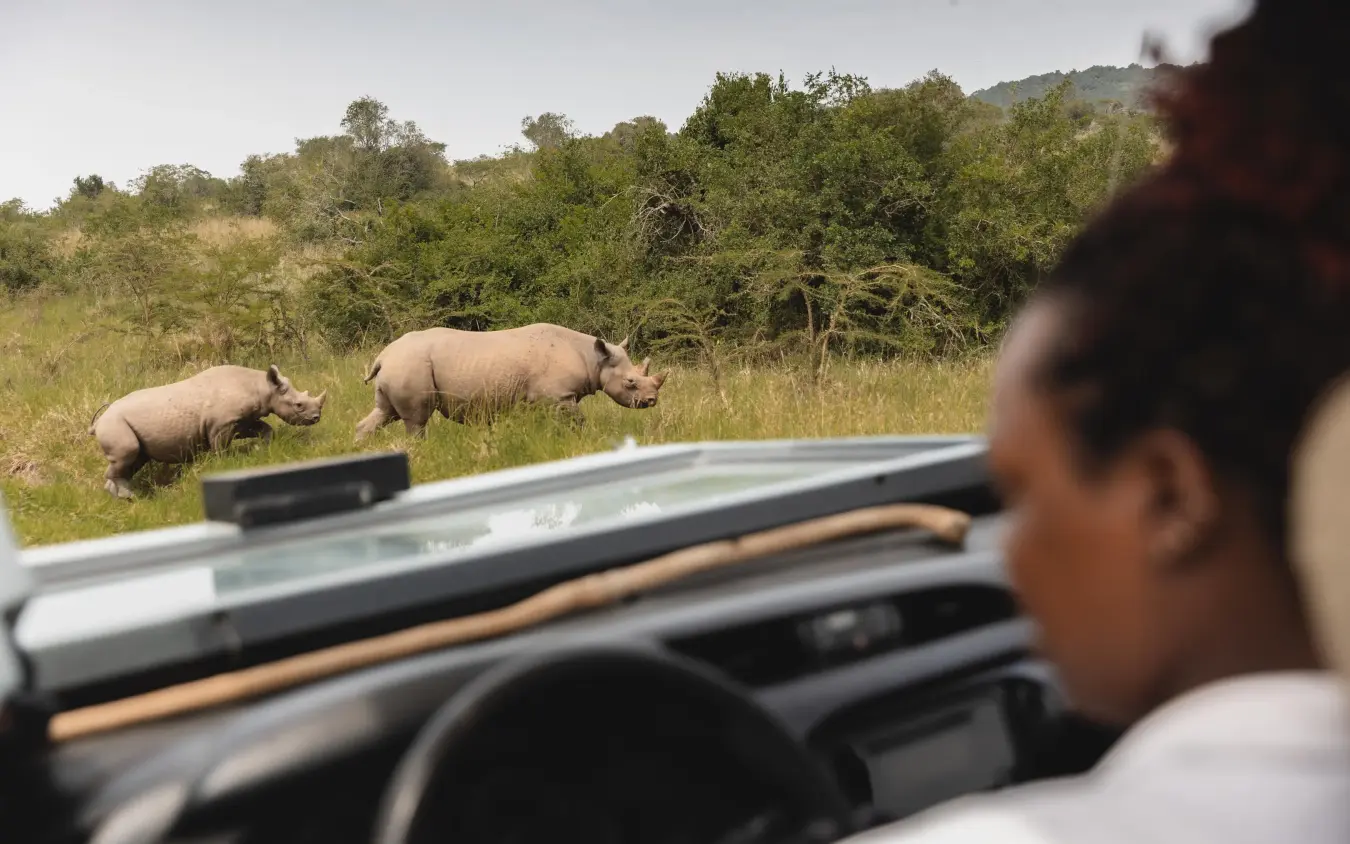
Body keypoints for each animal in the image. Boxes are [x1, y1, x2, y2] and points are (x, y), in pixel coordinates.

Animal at [89, 364, 327, 499]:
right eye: (298, 405)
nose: (317, 418)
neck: (262, 387)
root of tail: (98, 421)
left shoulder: (241, 420)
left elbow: (264, 429)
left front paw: (263, 449)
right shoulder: (221, 424)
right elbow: (220, 448)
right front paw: (224, 466)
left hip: (117, 424)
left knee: (134, 459)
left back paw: (123, 498)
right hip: (114, 424)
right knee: (128, 453)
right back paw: (128, 496)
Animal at [355, 323, 667, 439]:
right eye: (630, 382)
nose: (652, 401)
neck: (593, 359)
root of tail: (382, 356)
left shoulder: (545, 399)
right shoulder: (559, 396)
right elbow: (578, 422)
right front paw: (586, 439)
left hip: (398, 367)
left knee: (385, 412)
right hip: (409, 366)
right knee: (416, 421)